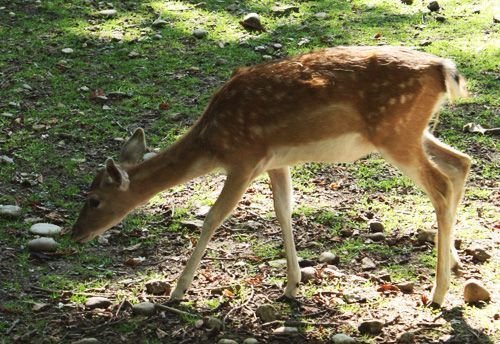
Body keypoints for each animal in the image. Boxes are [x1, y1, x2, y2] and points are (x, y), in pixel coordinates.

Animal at [72, 45, 470, 306]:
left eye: (94, 200)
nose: (75, 234)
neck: (212, 142)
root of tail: (444, 69)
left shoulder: (245, 158)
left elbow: (214, 217)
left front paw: (177, 291)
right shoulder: (275, 162)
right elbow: (283, 211)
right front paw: (292, 286)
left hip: (395, 133)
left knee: (440, 184)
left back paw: (438, 293)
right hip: (411, 131)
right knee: (460, 162)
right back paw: (453, 262)